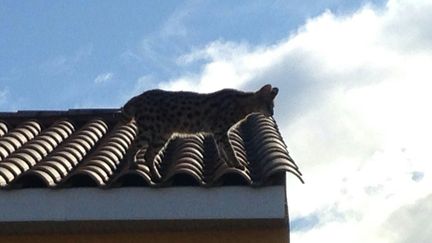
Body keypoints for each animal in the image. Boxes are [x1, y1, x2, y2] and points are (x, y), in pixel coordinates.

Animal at [120, 84, 280, 178]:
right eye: (269, 105)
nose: (272, 113)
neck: (243, 104)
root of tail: (138, 97)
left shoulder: (217, 132)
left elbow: (222, 150)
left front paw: (229, 164)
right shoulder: (220, 129)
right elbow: (229, 149)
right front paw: (237, 164)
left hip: (163, 134)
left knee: (148, 154)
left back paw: (154, 174)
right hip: (149, 130)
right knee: (133, 146)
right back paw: (135, 165)